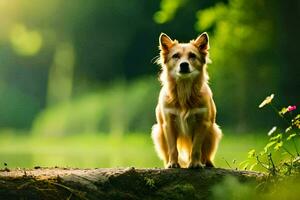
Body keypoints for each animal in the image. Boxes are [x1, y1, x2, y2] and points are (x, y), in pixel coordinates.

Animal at [151, 32, 221, 169]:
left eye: (192, 55)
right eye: (175, 56)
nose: (184, 64)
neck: (184, 91)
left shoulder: (202, 123)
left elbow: (196, 148)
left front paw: (195, 164)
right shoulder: (168, 123)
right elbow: (173, 148)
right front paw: (173, 163)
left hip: (213, 131)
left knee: (206, 153)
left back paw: (207, 163)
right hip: (159, 133)